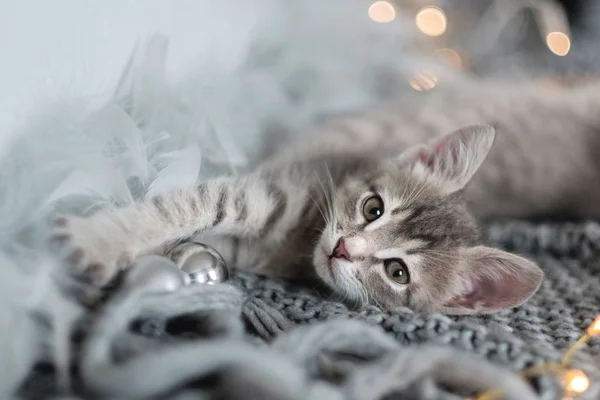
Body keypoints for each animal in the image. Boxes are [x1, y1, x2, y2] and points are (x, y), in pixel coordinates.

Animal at [51, 78, 600, 314]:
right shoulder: (265, 188)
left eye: (397, 272)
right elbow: (182, 206)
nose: (343, 249)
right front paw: (103, 238)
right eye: (373, 208)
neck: (298, 241)